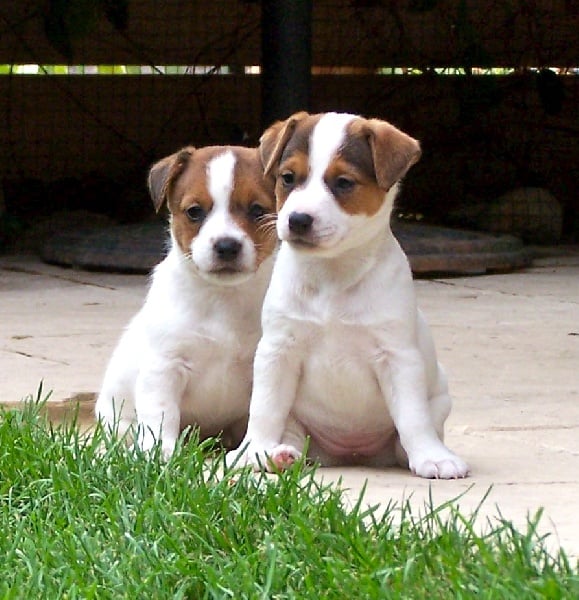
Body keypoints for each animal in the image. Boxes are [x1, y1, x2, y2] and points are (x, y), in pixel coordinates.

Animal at [95, 146, 276, 460]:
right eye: (194, 212)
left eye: (257, 211)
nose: (226, 246)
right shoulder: (164, 367)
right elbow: (161, 413)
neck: (224, 298)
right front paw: (161, 451)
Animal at [227, 112, 472, 478]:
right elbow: (265, 408)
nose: (297, 220)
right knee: (292, 433)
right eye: (288, 178)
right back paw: (281, 455)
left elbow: (413, 417)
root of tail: (351, 452)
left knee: (409, 434)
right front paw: (254, 450)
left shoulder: (398, 357)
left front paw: (431, 456)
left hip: (439, 399)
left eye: (343, 182)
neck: (333, 274)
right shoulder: (278, 351)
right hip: (299, 423)